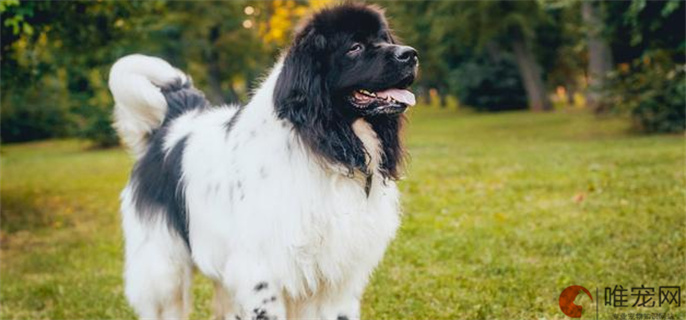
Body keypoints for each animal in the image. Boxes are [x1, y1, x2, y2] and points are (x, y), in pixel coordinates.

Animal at [109, 3, 420, 320]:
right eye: (355, 47)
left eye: (384, 38)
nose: (409, 54)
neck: (321, 144)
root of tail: (175, 121)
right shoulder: (262, 269)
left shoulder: (339, 276)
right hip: (163, 267)